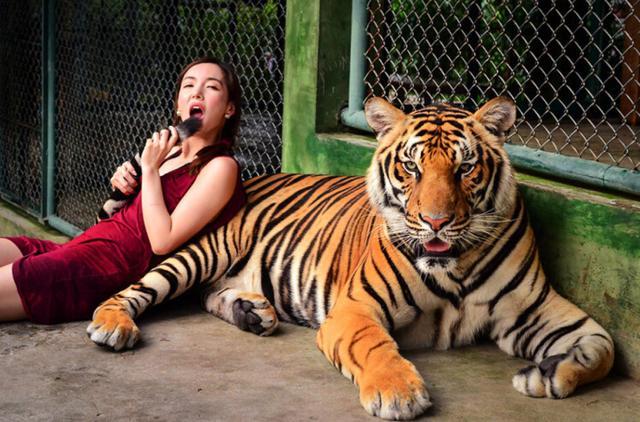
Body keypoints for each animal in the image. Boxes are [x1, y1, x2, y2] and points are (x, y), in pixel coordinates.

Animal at [87, 96, 614, 420]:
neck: (456, 268)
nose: (437, 222)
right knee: (141, 287)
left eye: (465, 167)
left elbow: (603, 347)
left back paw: (252, 313)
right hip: (205, 249)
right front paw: (398, 393)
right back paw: (112, 326)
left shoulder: (534, 307)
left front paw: (548, 375)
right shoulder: (355, 308)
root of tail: (251, 176)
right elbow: (375, 347)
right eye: (412, 166)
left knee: (206, 294)